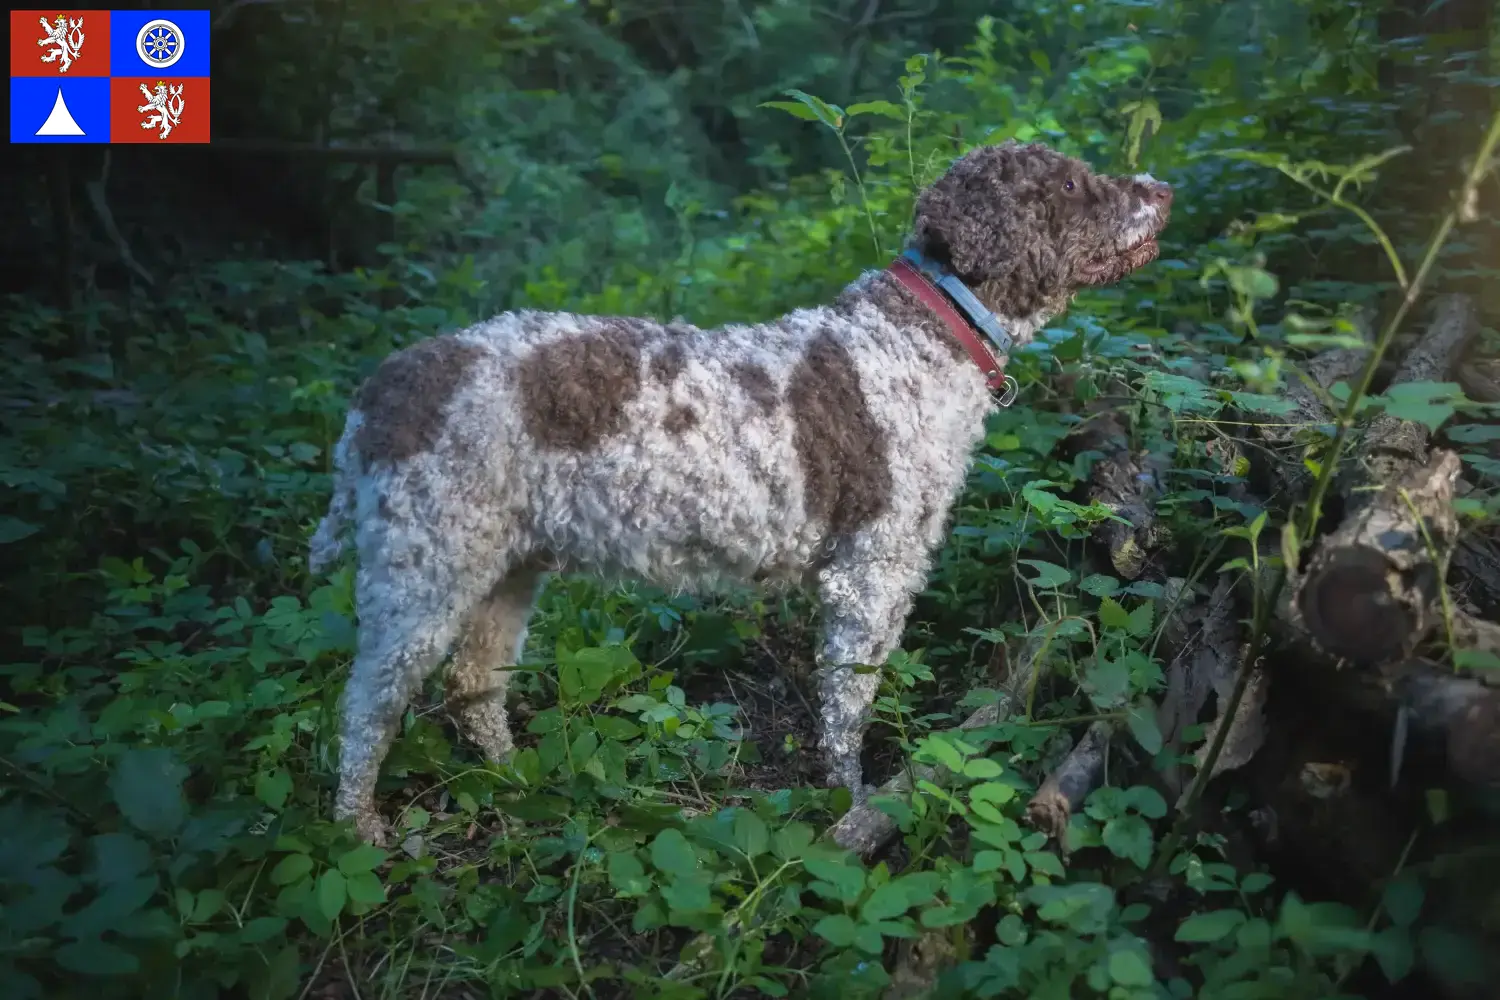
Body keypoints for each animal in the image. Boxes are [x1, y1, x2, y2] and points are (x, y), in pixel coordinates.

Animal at [307, 140, 1170, 845]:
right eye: (1073, 182)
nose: (1161, 188)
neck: (917, 336)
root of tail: (382, 389)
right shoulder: (871, 573)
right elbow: (848, 707)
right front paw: (853, 806)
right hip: (423, 572)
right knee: (367, 705)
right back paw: (357, 828)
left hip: (507, 569)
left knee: (472, 685)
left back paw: (515, 779)